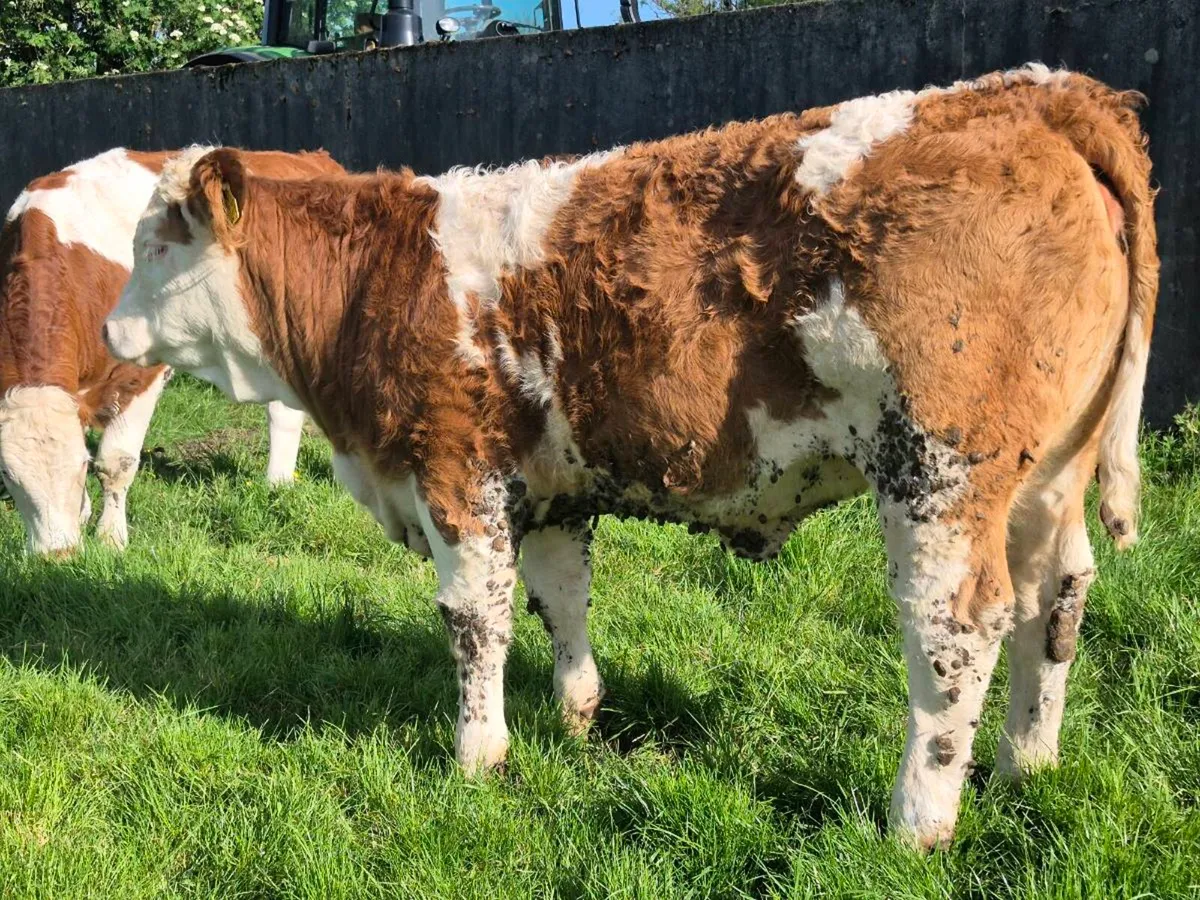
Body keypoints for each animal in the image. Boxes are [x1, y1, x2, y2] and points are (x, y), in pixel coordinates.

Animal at [0, 145, 344, 556]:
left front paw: (111, 538)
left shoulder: (140, 371)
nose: (57, 556)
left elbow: (116, 462)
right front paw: (83, 516)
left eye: (80, 466)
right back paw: (278, 482)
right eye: (9, 476)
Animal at [103, 65, 1158, 850]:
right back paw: (1026, 764)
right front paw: (576, 719)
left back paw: (917, 822)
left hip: (941, 468)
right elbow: (558, 599)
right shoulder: (548, 487)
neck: (379, 280)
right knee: (1055, 598)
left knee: (958, 628)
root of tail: (1040, 93)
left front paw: (477, 754)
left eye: (160, 242)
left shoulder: (456, 470)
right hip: (1044, 475)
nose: (109, 331)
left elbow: (473, 620)